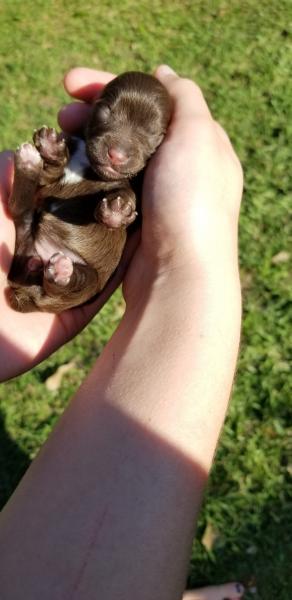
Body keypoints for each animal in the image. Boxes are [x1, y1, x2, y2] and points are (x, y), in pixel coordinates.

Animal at [7, 72, 171, 312]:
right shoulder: (47, 181)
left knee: (66, 284)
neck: (89, 168)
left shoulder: (128, 185)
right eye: (105, 111)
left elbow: (127, 195)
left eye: (154, 134)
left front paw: (116, 211)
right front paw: (52, 149)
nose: (117, 155)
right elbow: (49, 173)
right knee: (19, 209)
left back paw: (61, 272)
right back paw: (28, 163)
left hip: (88, 283)